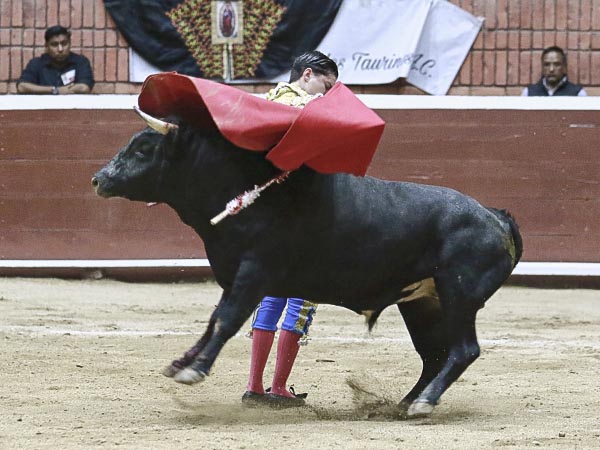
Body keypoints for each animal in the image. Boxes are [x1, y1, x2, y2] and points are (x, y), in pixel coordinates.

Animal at [91, 113, 524, 418]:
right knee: (435, 355)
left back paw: (422, 404)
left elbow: (228, 320)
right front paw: (182, 362)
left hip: (458, 293)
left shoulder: (254, 273)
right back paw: (406, 404)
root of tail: (493, 215)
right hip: (421, 301)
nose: (98, 179)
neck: (244, 193)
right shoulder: (233, 277)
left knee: (463, 350)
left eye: (143, 150)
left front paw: (193, 371)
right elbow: (215, 319)